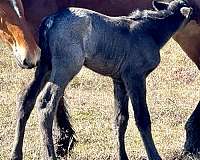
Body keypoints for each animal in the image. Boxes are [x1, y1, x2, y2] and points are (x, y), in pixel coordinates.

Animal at [0, 0, 199, 158]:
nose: (199, 13)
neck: (149, 31)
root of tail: (50, 20)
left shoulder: (119, 80)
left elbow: (120, 119)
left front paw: (122, 156)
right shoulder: (135, 77)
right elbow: (142, 118)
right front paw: (154, 156)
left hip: (45, 66)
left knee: (26, 98)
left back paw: (16, 154)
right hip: (65, 68)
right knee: (46, 103)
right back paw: (50, 155)